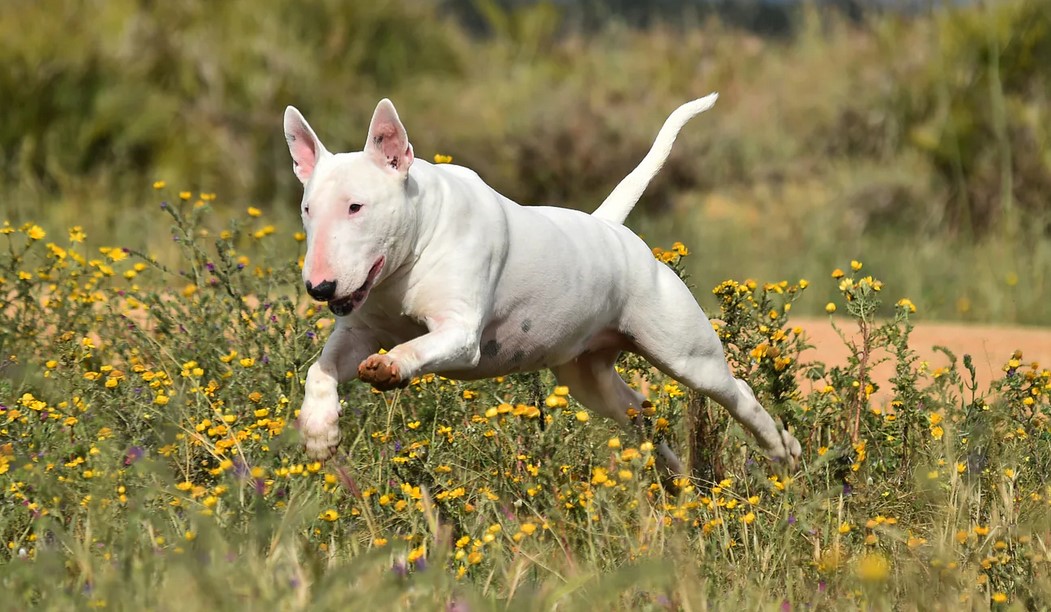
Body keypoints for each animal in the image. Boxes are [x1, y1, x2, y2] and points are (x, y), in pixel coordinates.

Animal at [283, 95, 798, 473]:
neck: (407, 256)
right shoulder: (359, 330)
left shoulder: (461, 333)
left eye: (356, 207)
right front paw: (319, 431)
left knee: (736, 392)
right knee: (637, 412)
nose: (319, 288)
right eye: (307, 208)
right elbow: (321, 369)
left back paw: (782, 450)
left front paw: (389, 366)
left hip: (685, 354)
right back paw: (675, 478)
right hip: (588, 377)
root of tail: (609, 226)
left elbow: (416, 346)